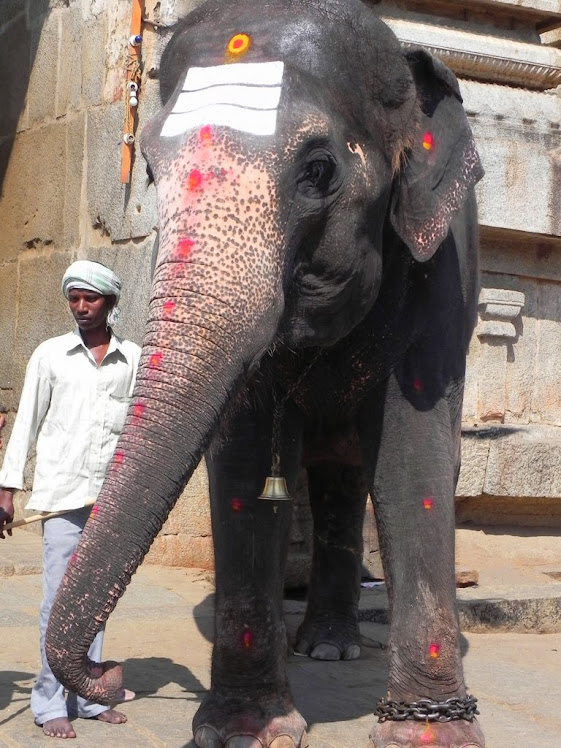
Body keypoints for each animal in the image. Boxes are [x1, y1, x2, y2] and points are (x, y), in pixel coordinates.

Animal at [47, 1, 486, 748]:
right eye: (152, 174)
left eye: (318, 169)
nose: (112, 679)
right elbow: (246, 457)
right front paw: (242, 730)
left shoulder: (441, 269)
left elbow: (415, 458)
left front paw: (431, 736)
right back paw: (318, 644)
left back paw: (331, 647)